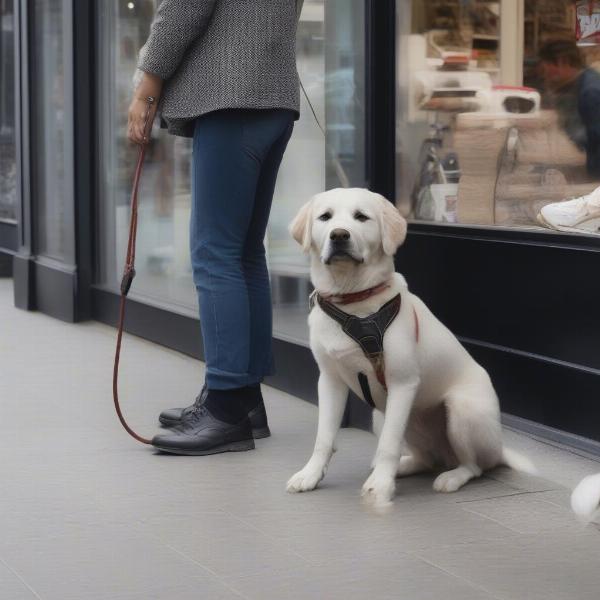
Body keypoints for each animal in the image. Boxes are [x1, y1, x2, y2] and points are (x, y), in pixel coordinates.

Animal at [286, 189, 536, 506]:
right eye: (325, 217)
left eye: (361, 217)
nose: (339, 235)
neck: (353, 303)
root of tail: (498, 448)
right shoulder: (330, 381)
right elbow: (324, 437)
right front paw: (310, 474)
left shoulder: (402, 382)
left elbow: (389, 444)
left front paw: (381, 487)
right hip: (381, 417)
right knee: (428, 459)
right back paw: (404, 466)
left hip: (462, 411)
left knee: (473, 466)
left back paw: (450, 477)